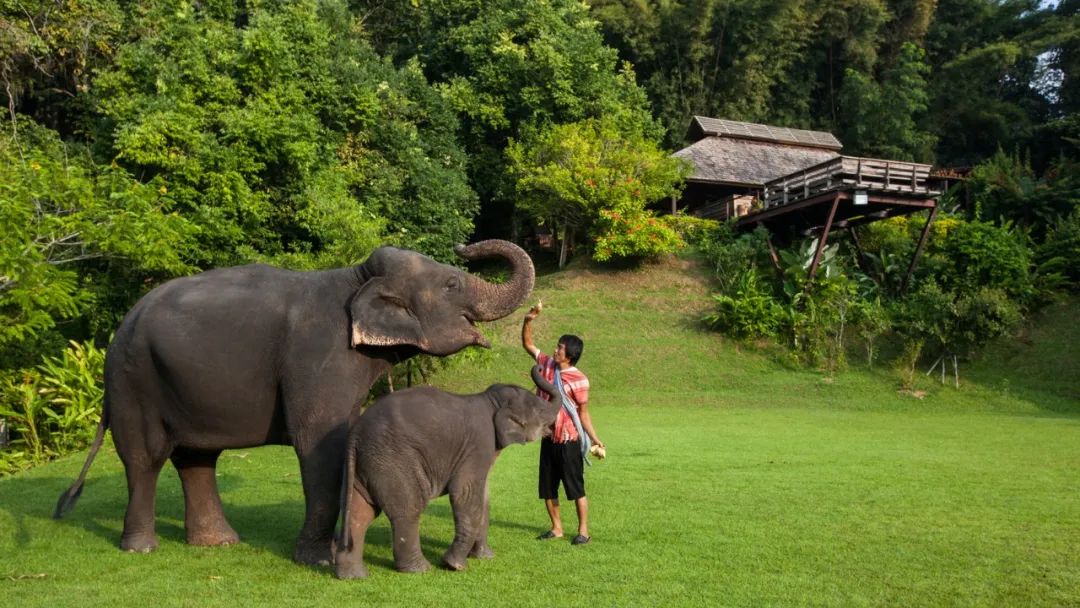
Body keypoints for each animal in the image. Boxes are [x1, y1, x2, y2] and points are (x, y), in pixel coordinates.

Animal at [54, 238, 535, 565]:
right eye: (452, 283)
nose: (464, 245)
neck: (355, 277)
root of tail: (122, 325)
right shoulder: (317, 356)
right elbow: (320, 444)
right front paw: (321, 559)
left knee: (196, 458)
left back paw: (219, 542)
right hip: (134, 378)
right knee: (145, 458)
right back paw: (142, 549)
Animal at [334, 367, 557, 578]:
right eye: (539, 409)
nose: (538, 366)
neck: (490, 401)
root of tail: (355, 434)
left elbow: (483, 498)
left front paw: (484, 557)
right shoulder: (479, 442)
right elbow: (464, 493)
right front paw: (454, 565)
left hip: (367, 464)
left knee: (361, 512)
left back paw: (354, 576)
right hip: (391, 460)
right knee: (409, 508)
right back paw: (420, 569)